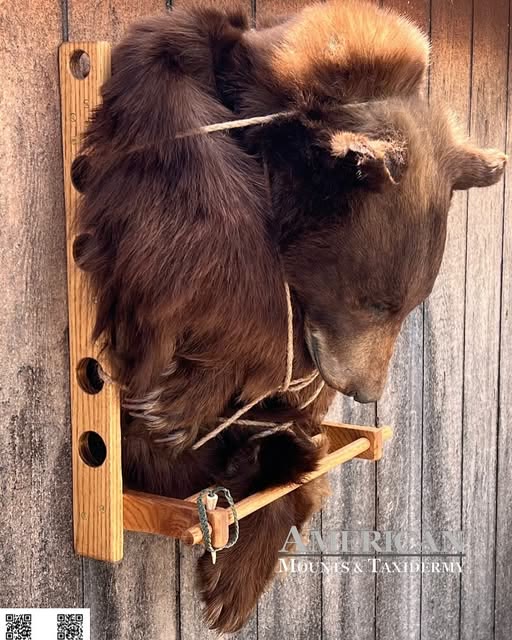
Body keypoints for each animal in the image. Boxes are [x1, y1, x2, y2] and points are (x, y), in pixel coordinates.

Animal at [74, 0, 506, 632]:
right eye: (374, 299)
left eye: (410, 303)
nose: (367, 391)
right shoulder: (190, 71)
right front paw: (197, 381)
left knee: (289, 456)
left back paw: (238, 565)